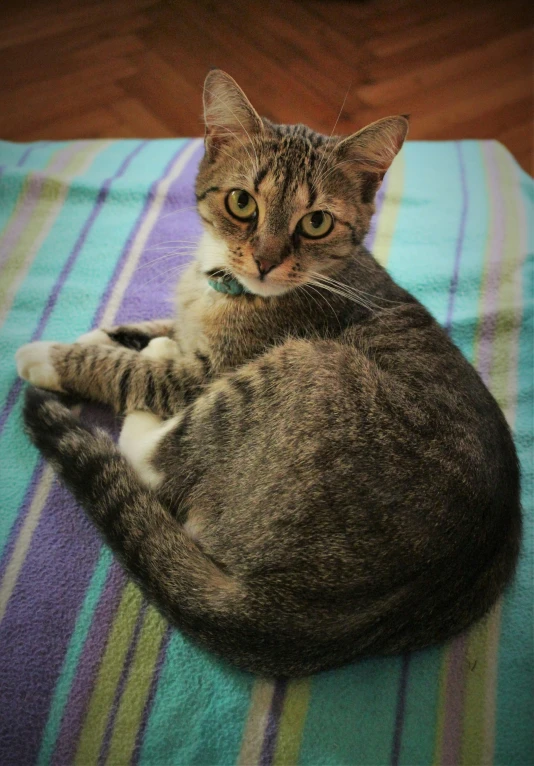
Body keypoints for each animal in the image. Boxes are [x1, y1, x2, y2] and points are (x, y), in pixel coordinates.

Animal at [16, 67, 524, 680]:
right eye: (241, 202)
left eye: (316, 221)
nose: (264, 259)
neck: (228, 289)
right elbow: (154, 325)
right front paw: (105, 334)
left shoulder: (206, 373)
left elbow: (134, 372)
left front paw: (51, 355)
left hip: (302, 370)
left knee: (158, 457)